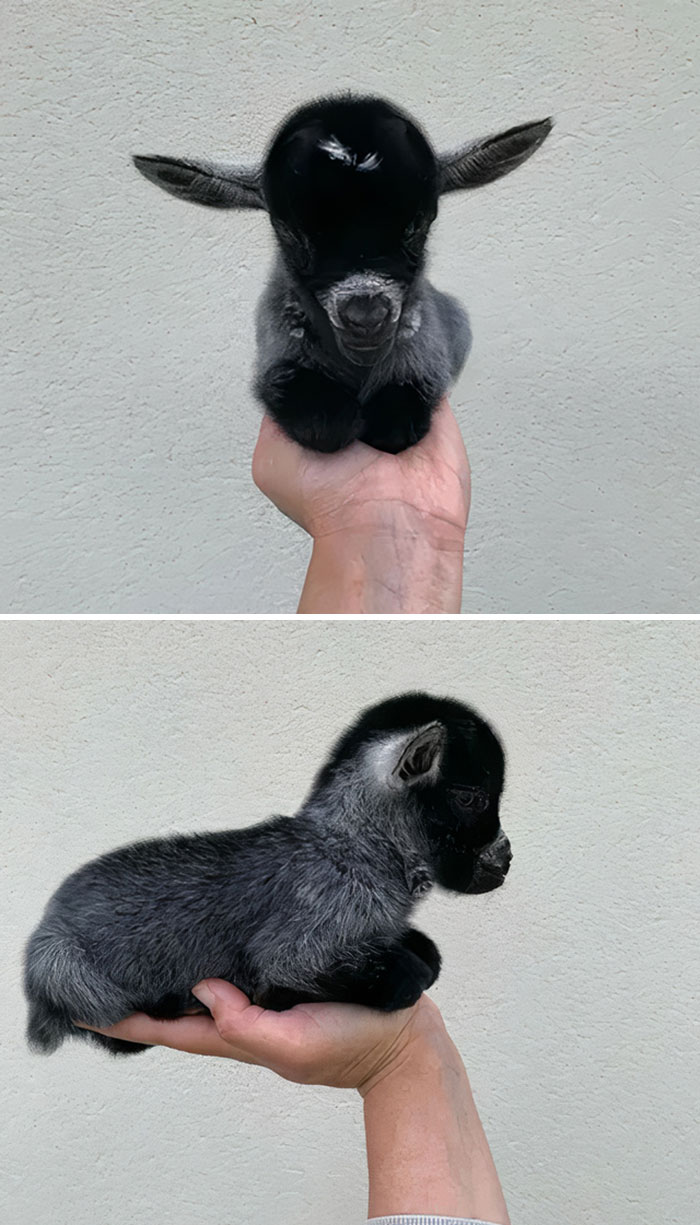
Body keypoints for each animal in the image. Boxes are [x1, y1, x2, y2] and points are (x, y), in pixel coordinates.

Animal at [24, 695, 512, 1058]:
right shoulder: (296, 946)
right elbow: (400, 976)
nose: (506, 857)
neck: (355, 849)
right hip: (61, 963)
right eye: (471, 798)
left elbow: (425, 951)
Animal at [134, 93, 551, 453]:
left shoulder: (428, 356)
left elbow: (400, 417)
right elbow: (321, 423)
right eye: (290, 234)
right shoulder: (274, 358)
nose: (365, 316)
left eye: (418, 225)